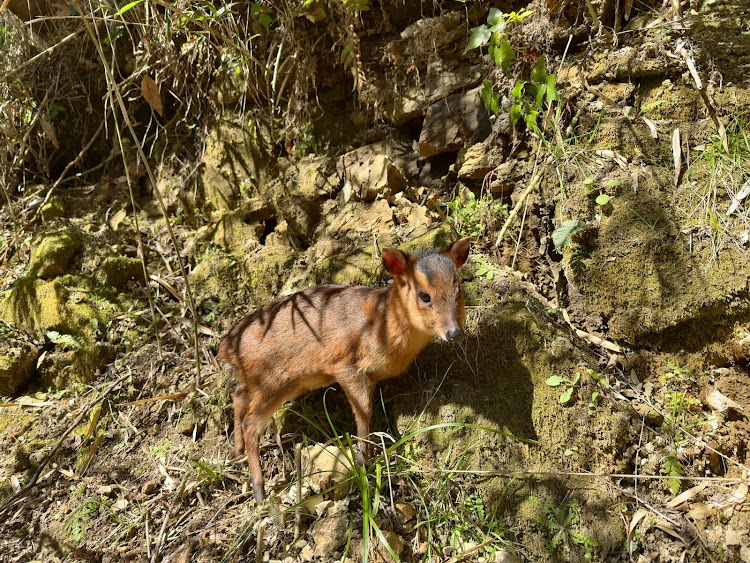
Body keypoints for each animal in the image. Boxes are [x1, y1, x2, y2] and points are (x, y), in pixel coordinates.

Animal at [217, 238, 472, 502]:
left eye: (459, 291)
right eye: (424, 296)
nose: (454, 332)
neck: (382, 325)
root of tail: (224, 348)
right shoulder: (346, 367)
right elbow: (364, 412)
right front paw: (363, 461)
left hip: (270, 384)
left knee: (238, 395)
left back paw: (236, 453)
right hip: (272, 383)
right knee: (250, 424)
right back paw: (259, 491)